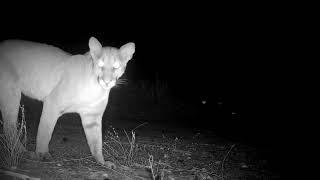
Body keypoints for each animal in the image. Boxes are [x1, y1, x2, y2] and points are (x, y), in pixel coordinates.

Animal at [0, 37, 134, 168]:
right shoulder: (52, 103)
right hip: (11, 93)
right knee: (9, 126)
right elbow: (45, 131)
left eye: (116, 67)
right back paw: (22, 151)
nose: (106, 82)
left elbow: (96, 141)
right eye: (100, 65)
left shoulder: (92, 117)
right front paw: (42, 154)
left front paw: (102, 162)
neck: (95, 88)